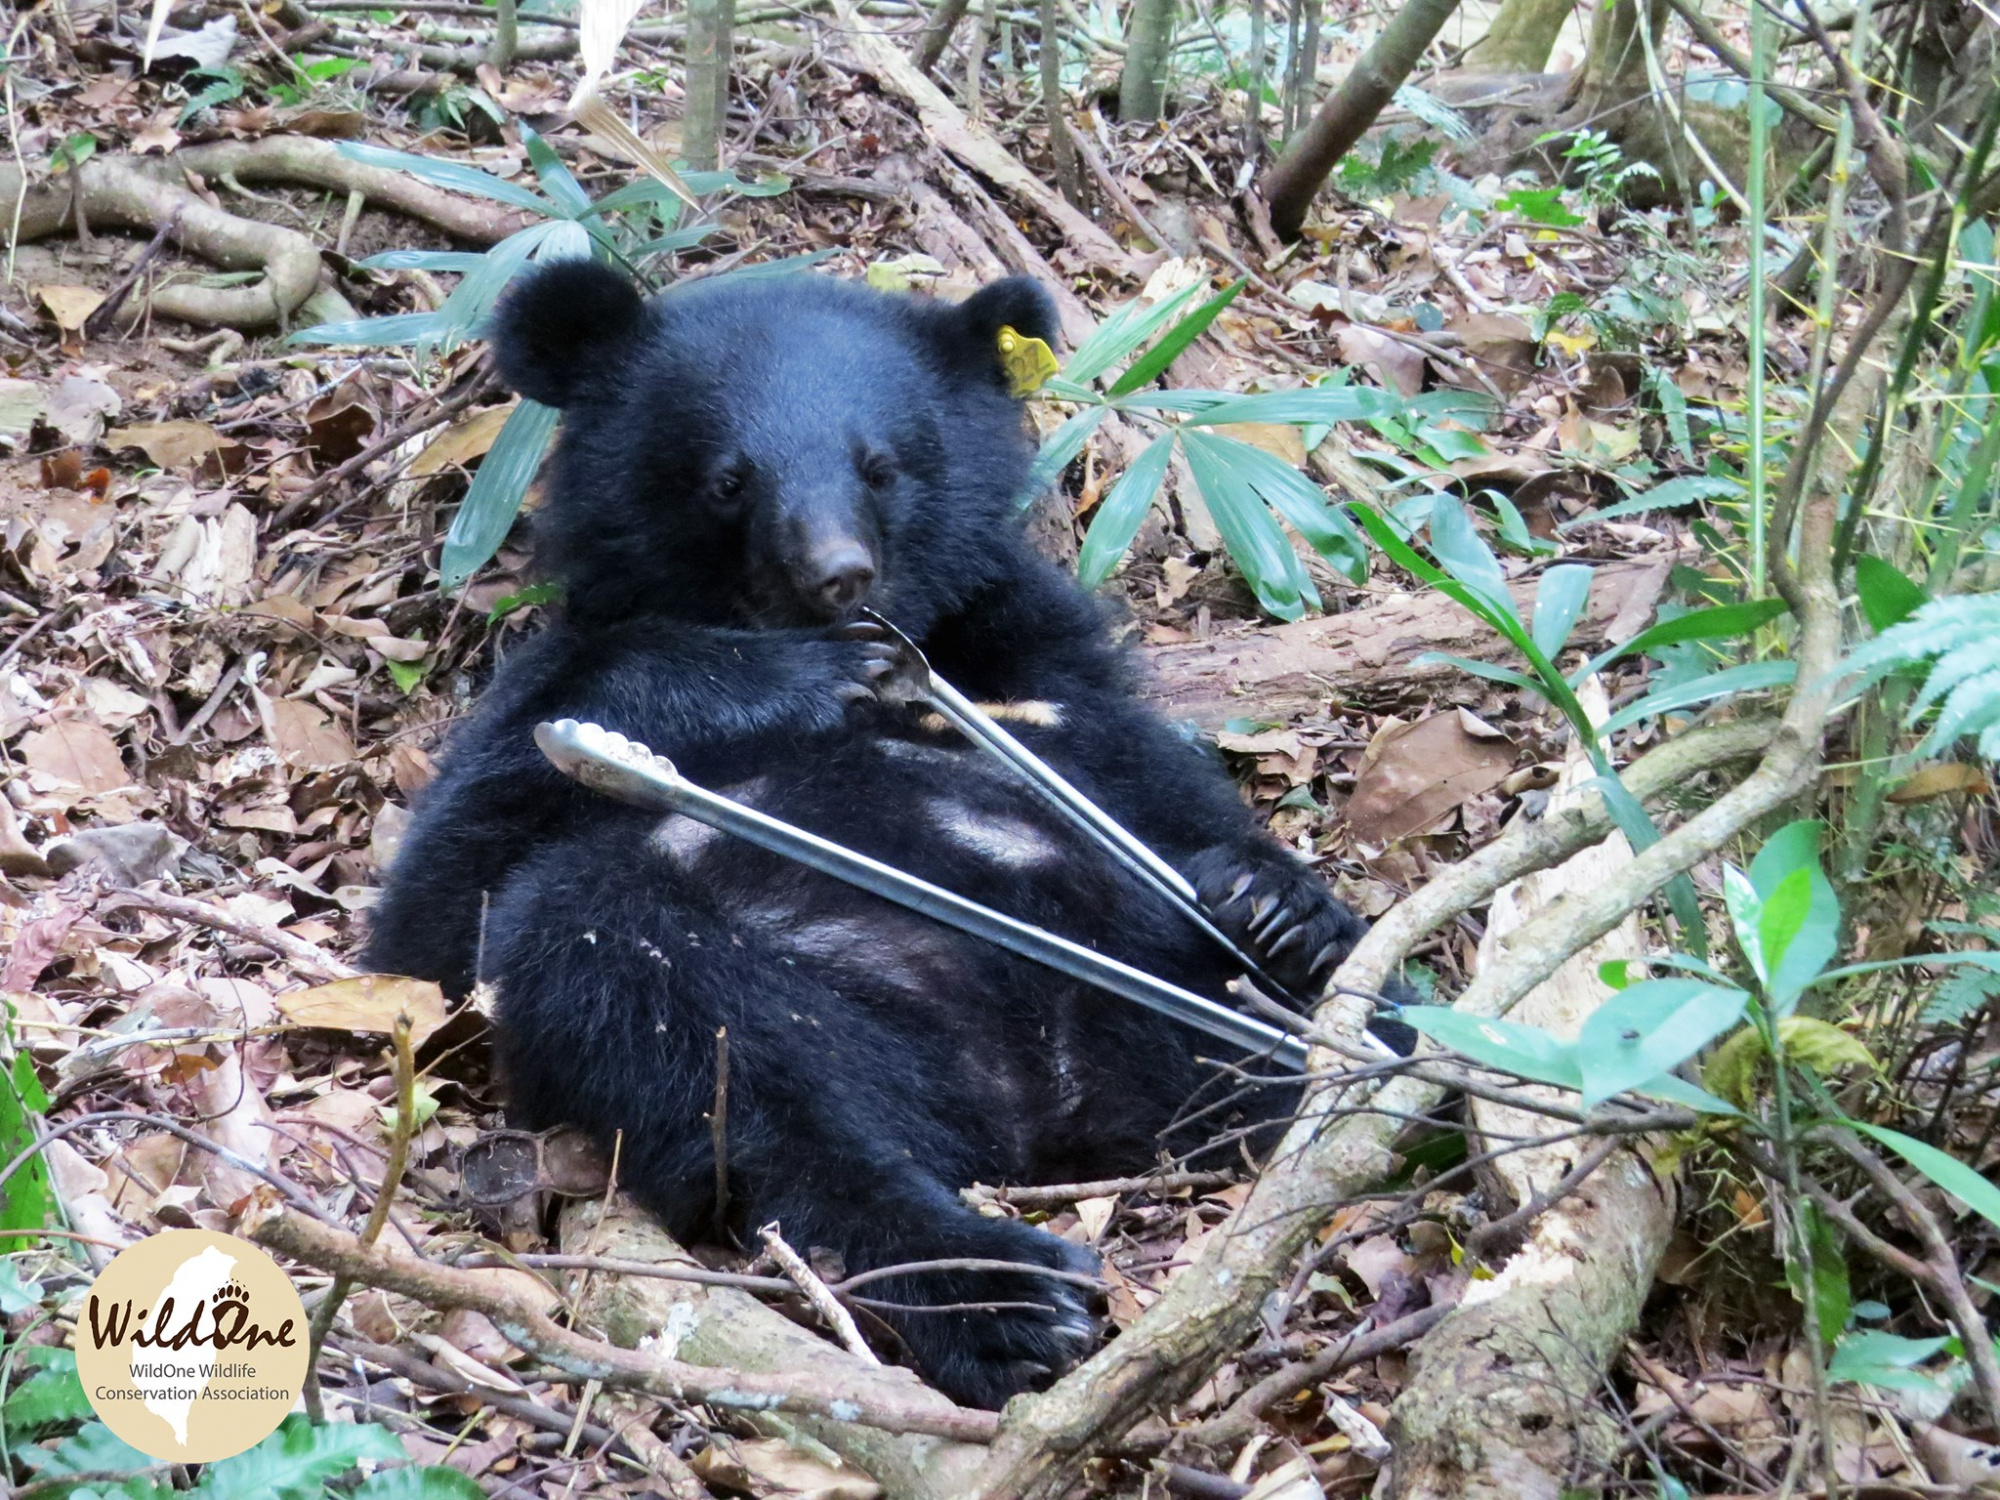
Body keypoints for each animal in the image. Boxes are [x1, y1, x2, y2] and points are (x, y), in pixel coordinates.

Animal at [368, 264, 1384, 1416]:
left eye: (881, 467)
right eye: (728, 480)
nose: (839, 575)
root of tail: (1041, 1097)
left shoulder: (1026, 642)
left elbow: (1147, 781)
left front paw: (1279, 906)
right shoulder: (547, 687)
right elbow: (436, 913)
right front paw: (808, 678)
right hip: (754, 985)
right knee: (696, 1044)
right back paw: (1007, 1297)